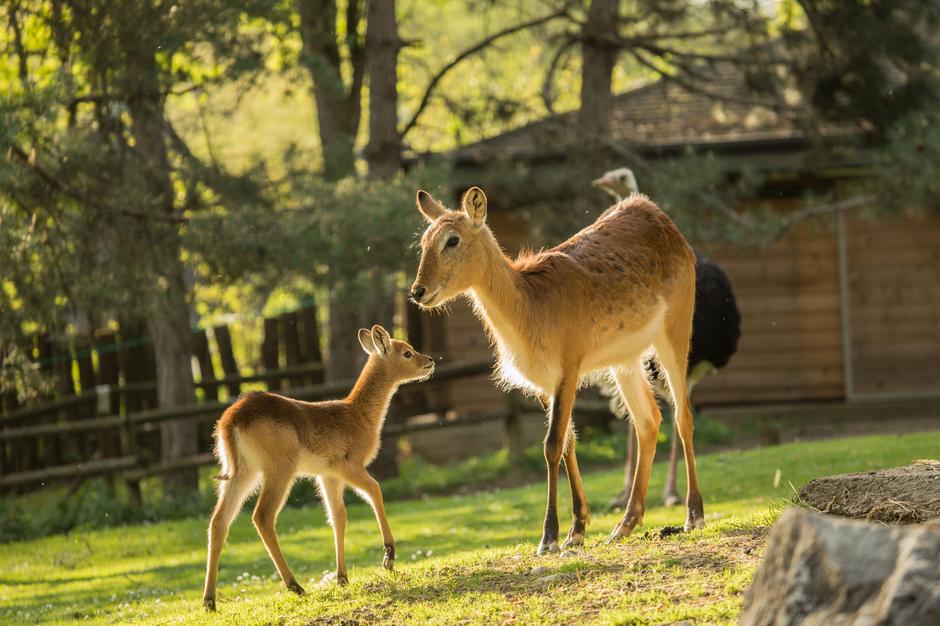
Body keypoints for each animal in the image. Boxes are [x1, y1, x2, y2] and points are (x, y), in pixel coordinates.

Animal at [201, 324, 434, 608]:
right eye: (407, 352)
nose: (430, 360)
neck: (361, 416)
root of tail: (229, 422)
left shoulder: (327, 475)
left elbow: (338, 516)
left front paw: (342, 578)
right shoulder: (347, 464)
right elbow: (375, 490)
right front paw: (388, 557)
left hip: (243, 472)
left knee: (218, 522)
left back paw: (209, 601)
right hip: (280, 468)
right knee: (262, 516)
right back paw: (296, 586)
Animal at [412, 186, 704, 552]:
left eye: (452, 239)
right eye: (423, 241)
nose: (418, 291)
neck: (532, 309)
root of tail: (658, 215)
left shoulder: (570, 367)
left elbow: (551, 445)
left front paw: (549, 537)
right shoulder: (543, 383)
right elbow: (567, 444)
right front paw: (576, 531)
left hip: (676, 328)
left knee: (683, 414)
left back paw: (693, 515)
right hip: (625, 359)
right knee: (649, 419)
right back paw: (624, 525)